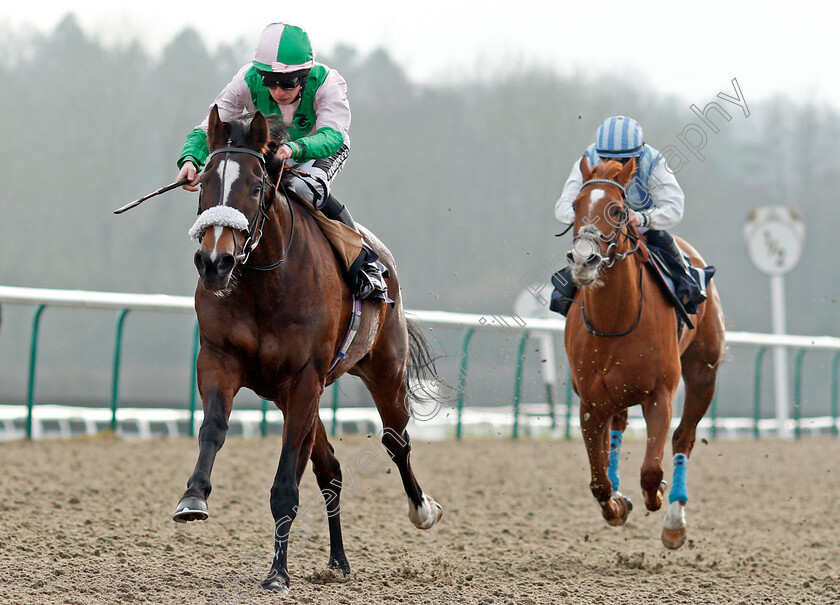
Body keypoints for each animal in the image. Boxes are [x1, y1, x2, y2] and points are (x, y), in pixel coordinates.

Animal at [173, 106, 442, 592]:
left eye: (255, 186)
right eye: (203, 182)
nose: (215, 262)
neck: (264, 283)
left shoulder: (304, 379)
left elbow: (286, 481)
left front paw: (277, 574)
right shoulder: (220, 359)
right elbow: (214, 428)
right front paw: (193, 497)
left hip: (383, 370)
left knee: (396, 441)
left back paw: (423, 511)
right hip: (297, 394)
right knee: (330, 470)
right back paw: (338, 561)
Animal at [568, 155, 724, 548]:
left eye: (618, 210)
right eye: (575, 206)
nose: (584, 260)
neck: (616, 319)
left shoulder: (660, 394)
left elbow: (652, 470)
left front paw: (656, 497)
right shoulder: (590, 403)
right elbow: (598, 482)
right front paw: (616, 504)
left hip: (704, 373)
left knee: (684, 436)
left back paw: (674, 520)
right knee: (619, 428)